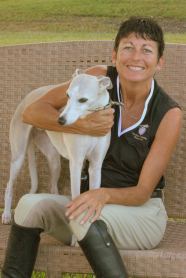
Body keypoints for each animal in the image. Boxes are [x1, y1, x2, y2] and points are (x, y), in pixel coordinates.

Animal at [1, 69, 115, 224]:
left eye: (83, 100)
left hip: (54, 160)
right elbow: (76, 197)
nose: (60, 120)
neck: (91, 122)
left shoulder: (96, 166)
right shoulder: (76, 164)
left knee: (53, 187)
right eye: (67, 95)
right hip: (18, 157)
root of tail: (28, 96)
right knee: (9, 186)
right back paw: (6, 214)